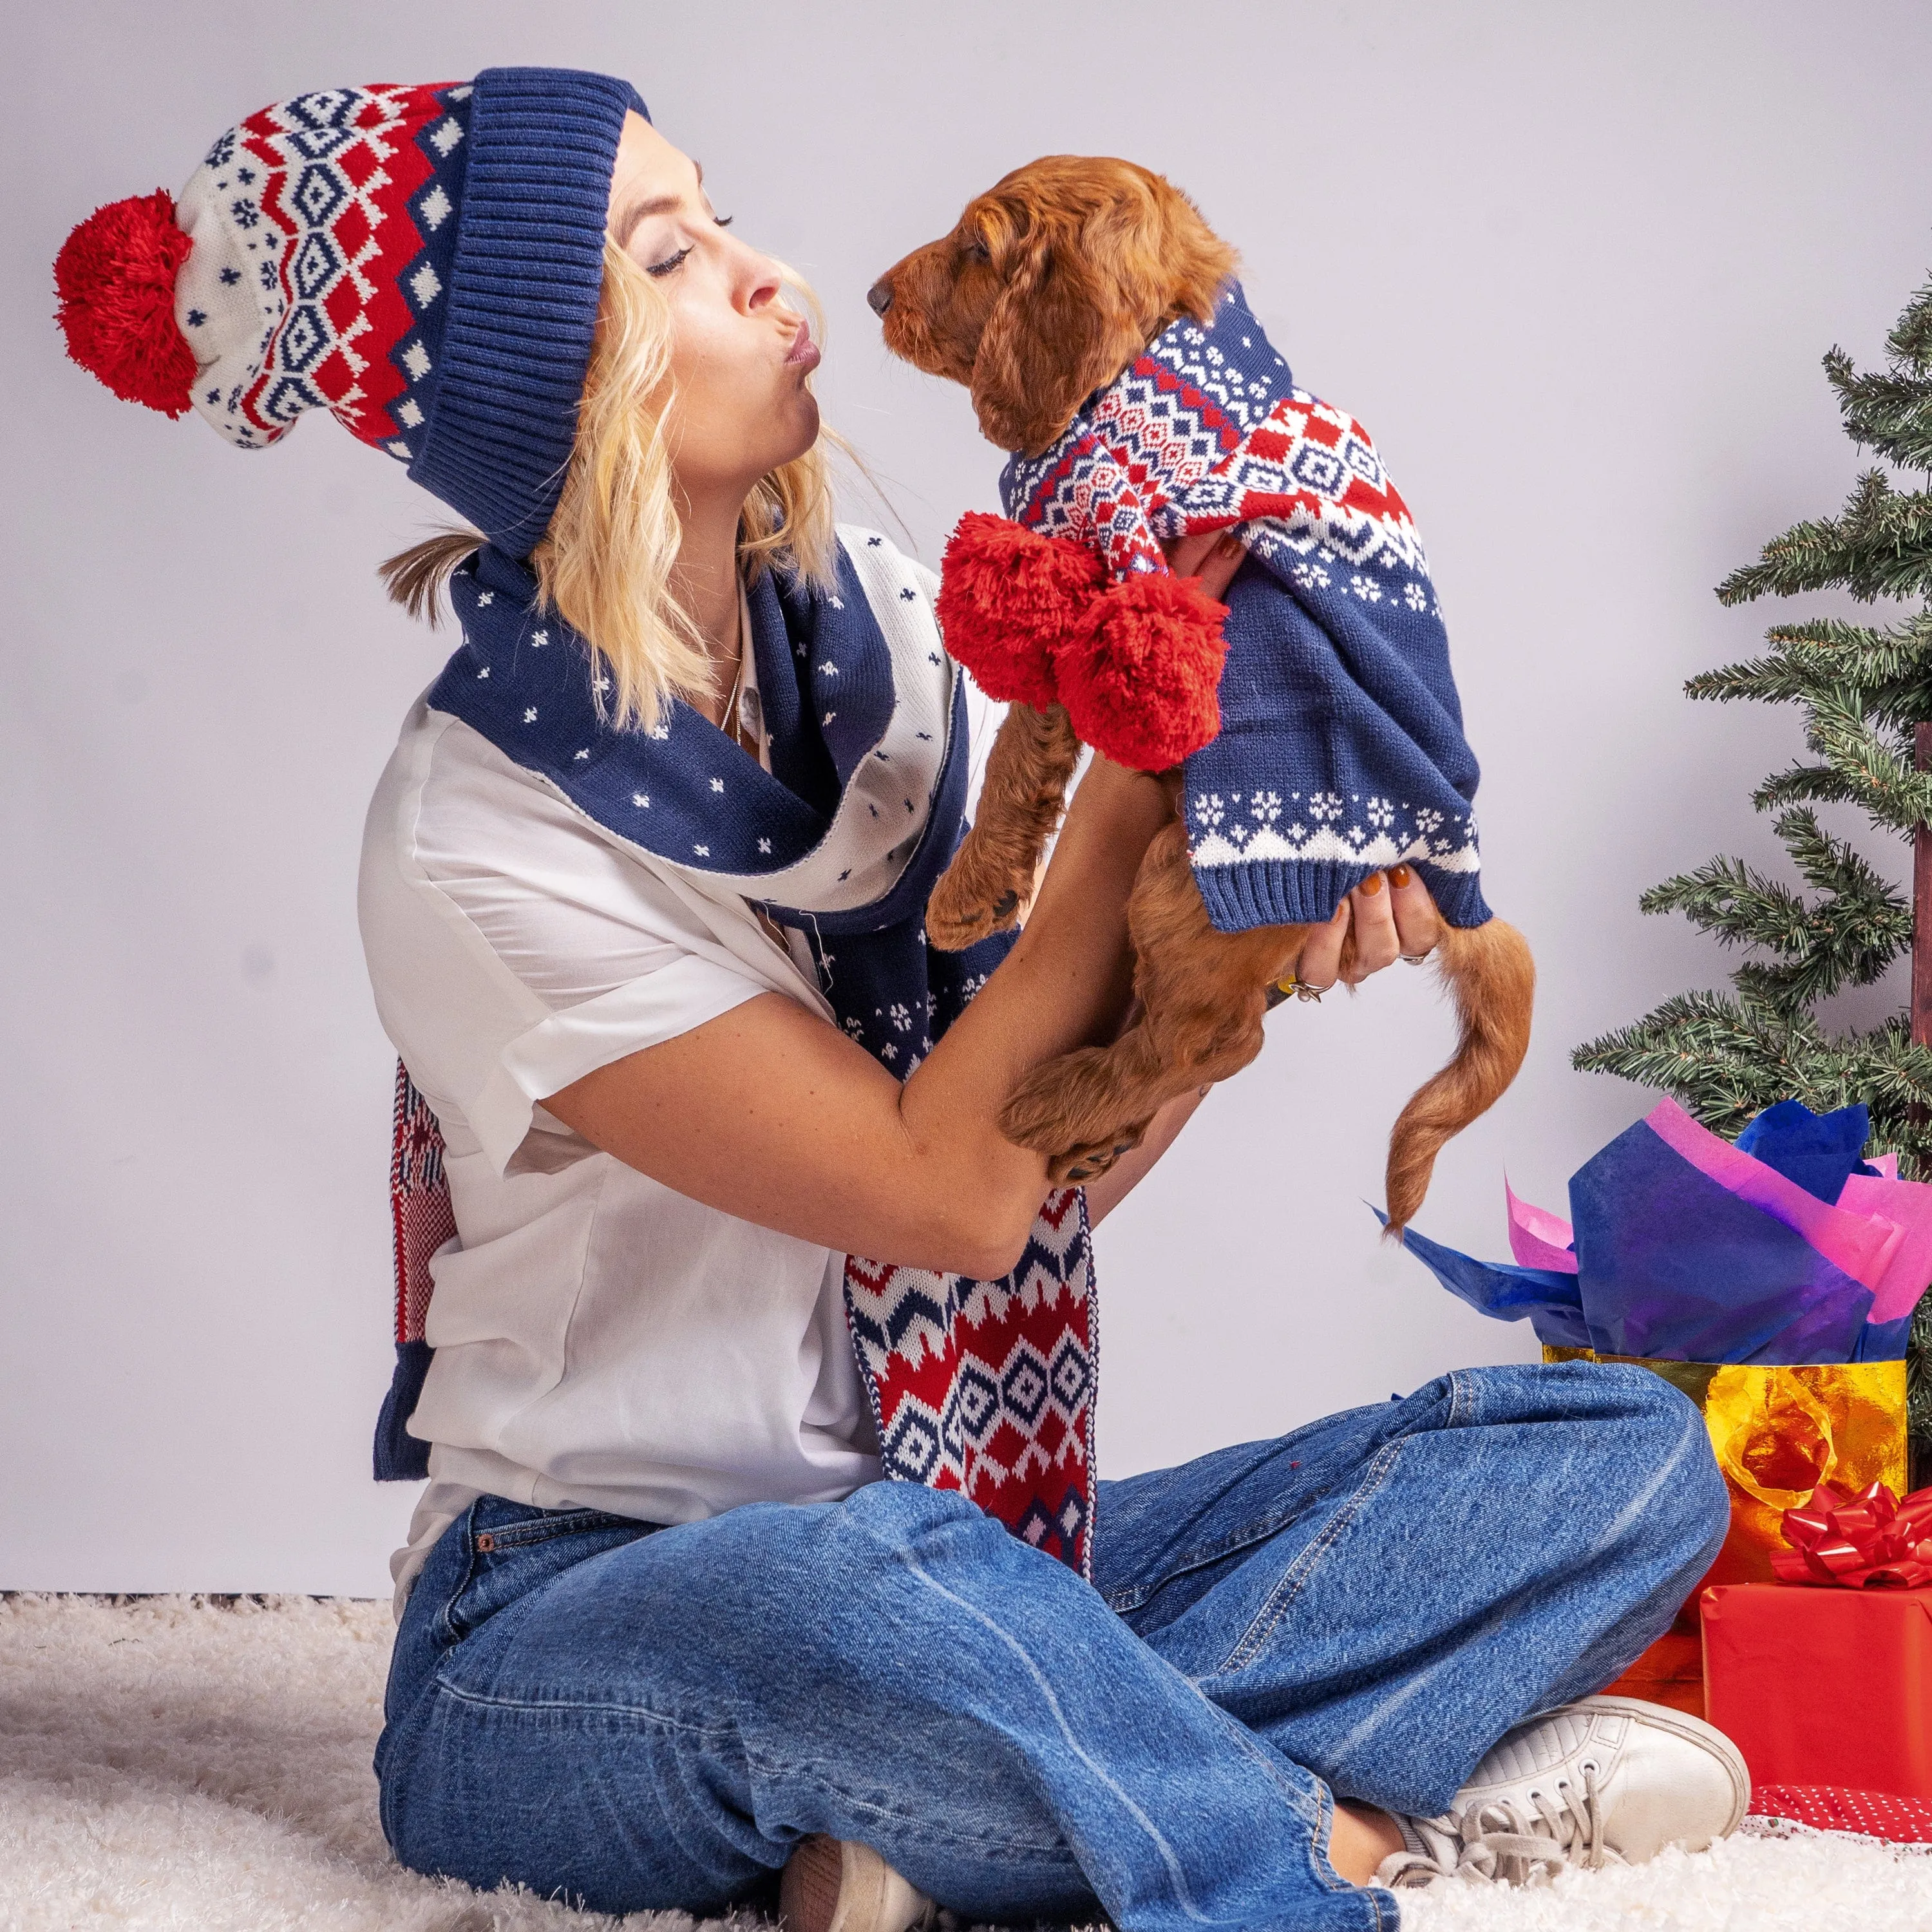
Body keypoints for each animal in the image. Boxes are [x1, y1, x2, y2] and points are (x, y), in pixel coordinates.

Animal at [869, 158, 1530, 1229]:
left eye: (977, 248)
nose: (875, 297)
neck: (1165, 365)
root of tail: (1424, 871)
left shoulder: (1094, 577)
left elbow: (1015, 754)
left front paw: (967, 895)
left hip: (1186, 885)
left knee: (1212, 1039)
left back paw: (1058, 1103)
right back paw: (1094, 1139)